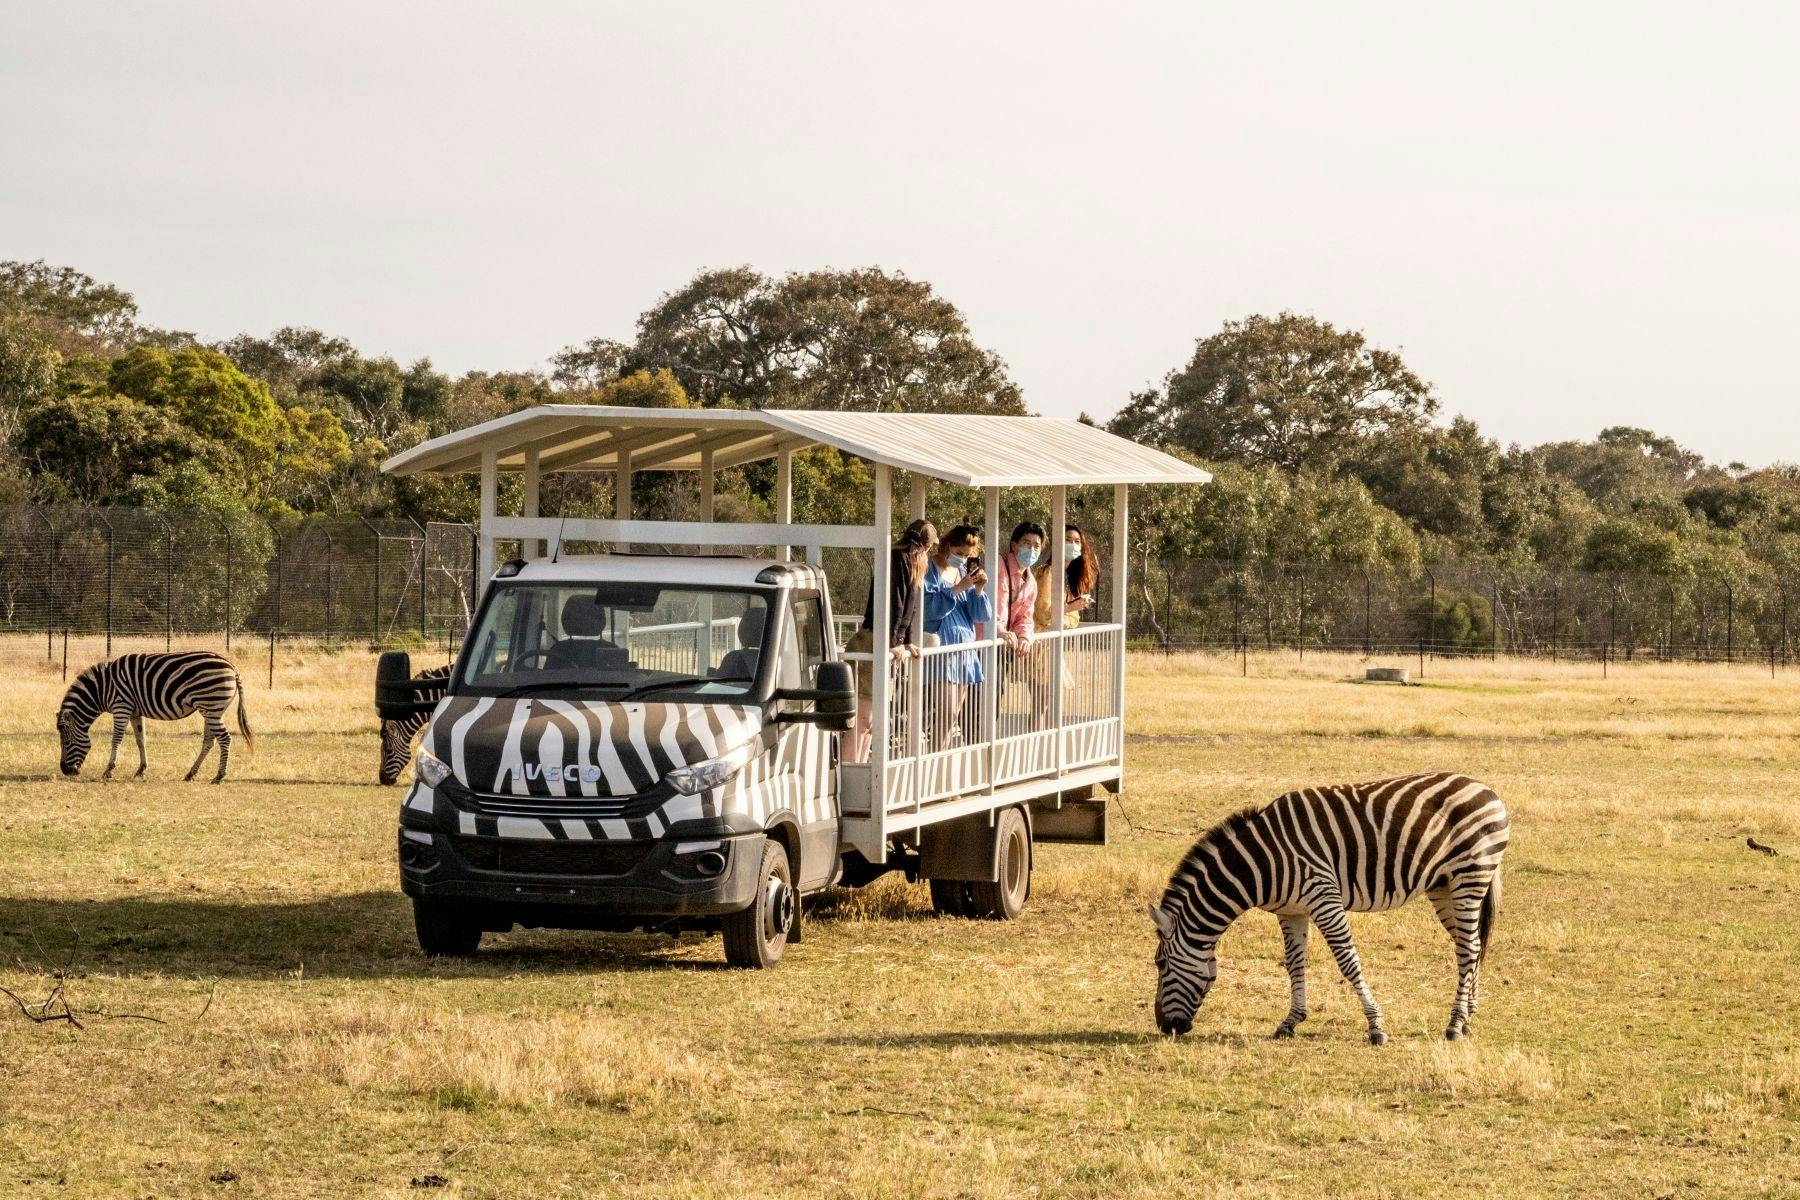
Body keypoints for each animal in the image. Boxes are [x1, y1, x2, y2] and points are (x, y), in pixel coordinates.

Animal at [56, 651, 253, 784]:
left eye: (66, 742)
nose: (65, 771)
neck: (102, 689)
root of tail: (232, 666)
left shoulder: (121, 707)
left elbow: (116, 739)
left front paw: (109, 770)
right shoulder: (135, 712)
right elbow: (140, 739)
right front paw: (141, 769)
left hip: (211, 707)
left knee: (225, 739)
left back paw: (219, 776)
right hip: (212, 710)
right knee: (209, 741)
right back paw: (191, 773)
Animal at [1149, 772, 1508, 1044]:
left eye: (1160, 963)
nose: (1165, 1027)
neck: (1259, 864)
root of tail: (1485, 788)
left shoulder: (1323, 895)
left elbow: (1348, 962)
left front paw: (1375, 1027)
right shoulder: (1291, 910)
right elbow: (1294, 964)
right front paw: (1290, 1021)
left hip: (1470, 876)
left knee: (1468, 948)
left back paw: (1454, 1024)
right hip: (1444, 886)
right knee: (1471, 945)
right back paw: (1468, 1017)